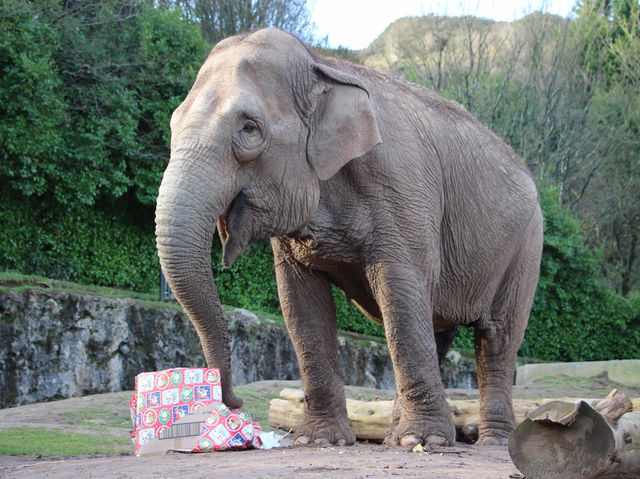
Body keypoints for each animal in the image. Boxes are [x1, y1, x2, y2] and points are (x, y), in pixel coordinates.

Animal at [155, 28, 540, 450]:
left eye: (249, 128)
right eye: (172, 123)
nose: (234, 402)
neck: (321, 64)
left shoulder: (402, 187)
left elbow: (399, 290)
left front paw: (422, 441)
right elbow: (300, 302)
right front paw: (318, 441)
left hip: (526, 247)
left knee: (496, 338)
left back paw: (488, 442)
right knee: (437, 329)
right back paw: (395, 435)